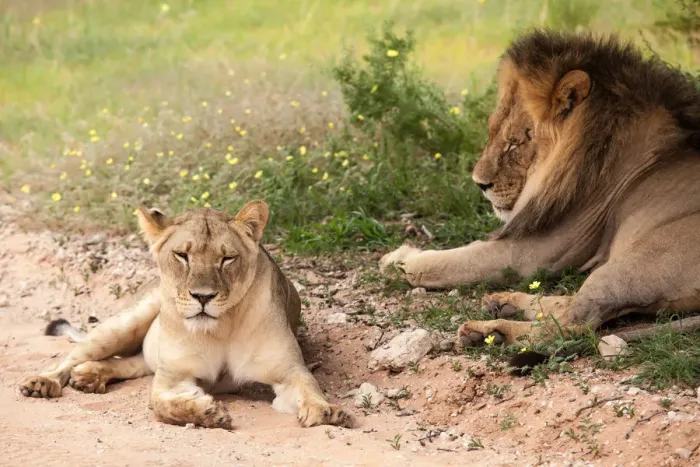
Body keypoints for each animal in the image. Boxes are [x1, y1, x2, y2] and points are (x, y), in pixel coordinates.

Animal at [19, 201, 354, 429]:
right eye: (182, 255)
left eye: (227, 258)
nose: (203, 297)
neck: (220, 328)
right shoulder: (174, 377)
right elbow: (161, 405)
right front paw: (208, 412)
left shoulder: (288, 371)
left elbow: (309, 386)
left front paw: (326, 411)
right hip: (128, 322)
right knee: (74, 356)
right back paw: (44, 382)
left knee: (131, 363)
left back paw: (89, 376)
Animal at [380, 29, 700, 354]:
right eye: (492, 132)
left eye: (514, 143)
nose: (479, 184)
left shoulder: (535, 254)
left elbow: (453, 263)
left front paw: (400, 261)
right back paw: (505, 302)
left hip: (637, 263)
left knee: (572, 324)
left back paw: (490, 332)